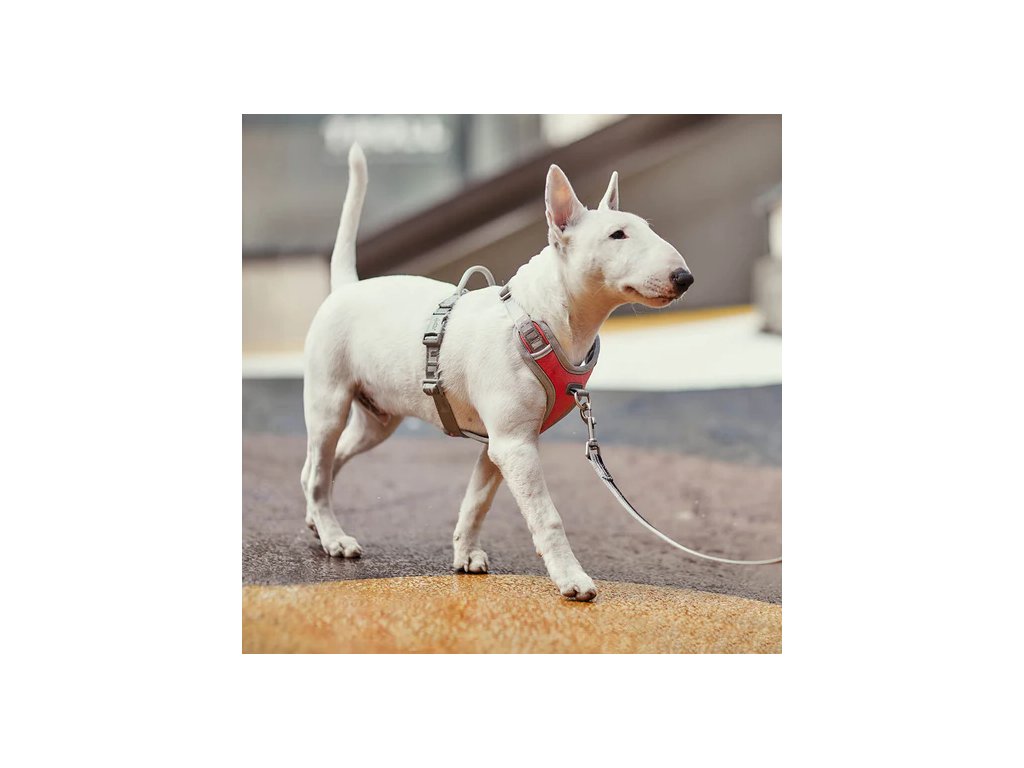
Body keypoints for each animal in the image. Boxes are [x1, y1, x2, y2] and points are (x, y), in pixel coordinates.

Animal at [301, 143, 692, 601]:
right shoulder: (514, 446)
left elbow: (477, 501)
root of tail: (347, 287)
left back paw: (316, 520)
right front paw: (572, 578)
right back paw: (333, 536)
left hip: (377, 421)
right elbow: (547, 515)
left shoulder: (497, 444)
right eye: (618, 235)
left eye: (645, 228)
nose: (684, 278)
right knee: (320, 470)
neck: (541, 318)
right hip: (328, 403)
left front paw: (466, 554)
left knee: (321, 466)